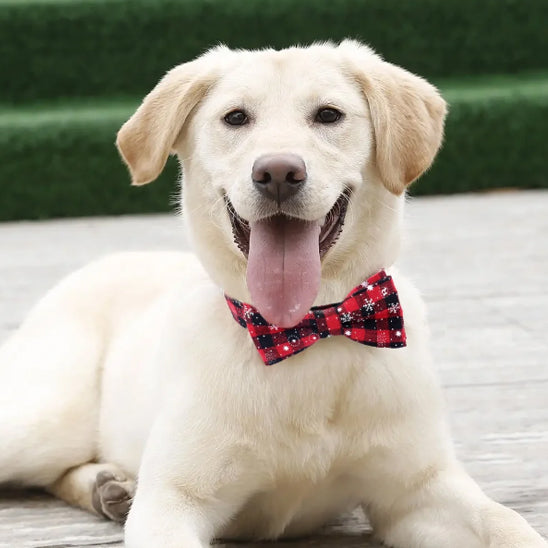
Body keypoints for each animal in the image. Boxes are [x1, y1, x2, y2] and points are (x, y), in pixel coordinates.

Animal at [1, 40, 548, 544]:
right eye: (236, 118)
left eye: (328, 115)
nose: (278, 173)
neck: (307, 328)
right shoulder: (175, 500)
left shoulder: (420, 491)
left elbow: (506, 521)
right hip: (42, 420)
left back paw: (107, 485)